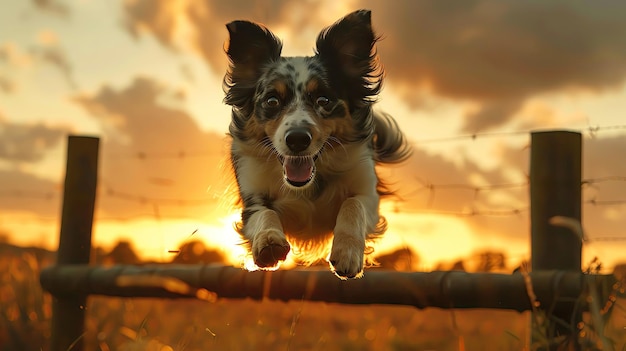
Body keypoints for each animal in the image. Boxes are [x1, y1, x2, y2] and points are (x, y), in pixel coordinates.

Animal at [223, 8, 410, 280]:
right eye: (272, 100)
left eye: (324, 99)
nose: (297, 139)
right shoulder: (252, 199)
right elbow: (264, 213)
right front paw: (268, 242)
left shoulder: (367, 193)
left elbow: (353, 204)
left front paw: (346, 253)